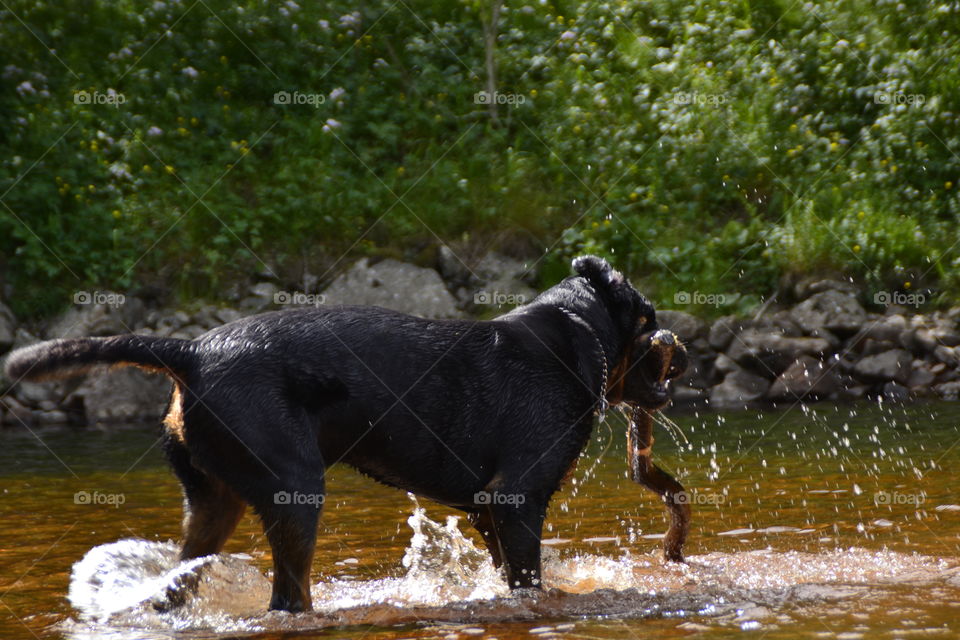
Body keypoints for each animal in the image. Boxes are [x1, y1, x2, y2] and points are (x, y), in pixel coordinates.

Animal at [3, 254, 688, 608]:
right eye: (648, 316)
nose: (679, 351)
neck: (575, 338)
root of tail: (190, 352)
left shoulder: (487, 509)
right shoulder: (518, 498)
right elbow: (529, 579)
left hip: (213, 501)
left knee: (183, 579)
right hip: (295, 488)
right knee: (288, 596)